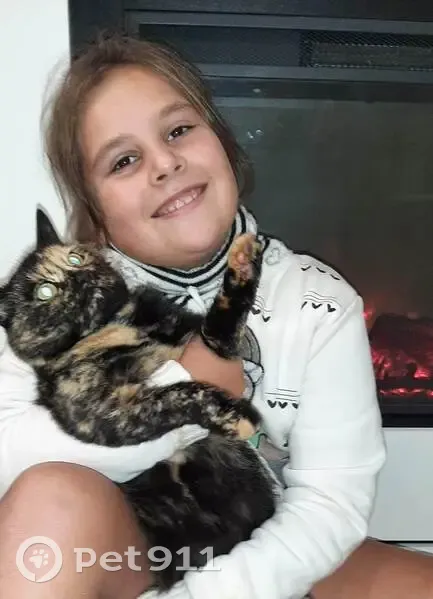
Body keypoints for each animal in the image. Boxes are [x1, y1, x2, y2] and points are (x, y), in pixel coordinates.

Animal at [0, 208, 278, 590]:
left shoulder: (214, 343)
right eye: (44, 291)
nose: (79, 277)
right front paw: (234, 415)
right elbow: (179, 393)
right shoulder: (101, 413)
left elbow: (221, 324)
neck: (116, 324)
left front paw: (243, 257)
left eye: (75, 258)